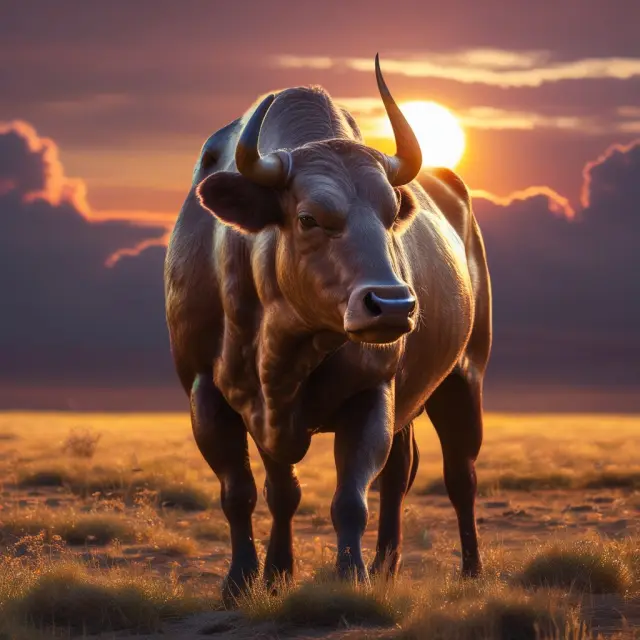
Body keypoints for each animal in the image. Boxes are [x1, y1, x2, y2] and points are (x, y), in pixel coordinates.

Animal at [164, 54, 492, 603]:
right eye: (308, 218)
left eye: (390, 216)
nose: (393, 304)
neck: (280, 347)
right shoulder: (209, 393)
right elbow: (253, 492)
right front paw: (256, 577)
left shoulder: (371, 392)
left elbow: (349, 499)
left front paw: (350, 575)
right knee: (399, 473)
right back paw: (386, 565)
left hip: (464, 375)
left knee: (458, 475)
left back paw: (469, 571)